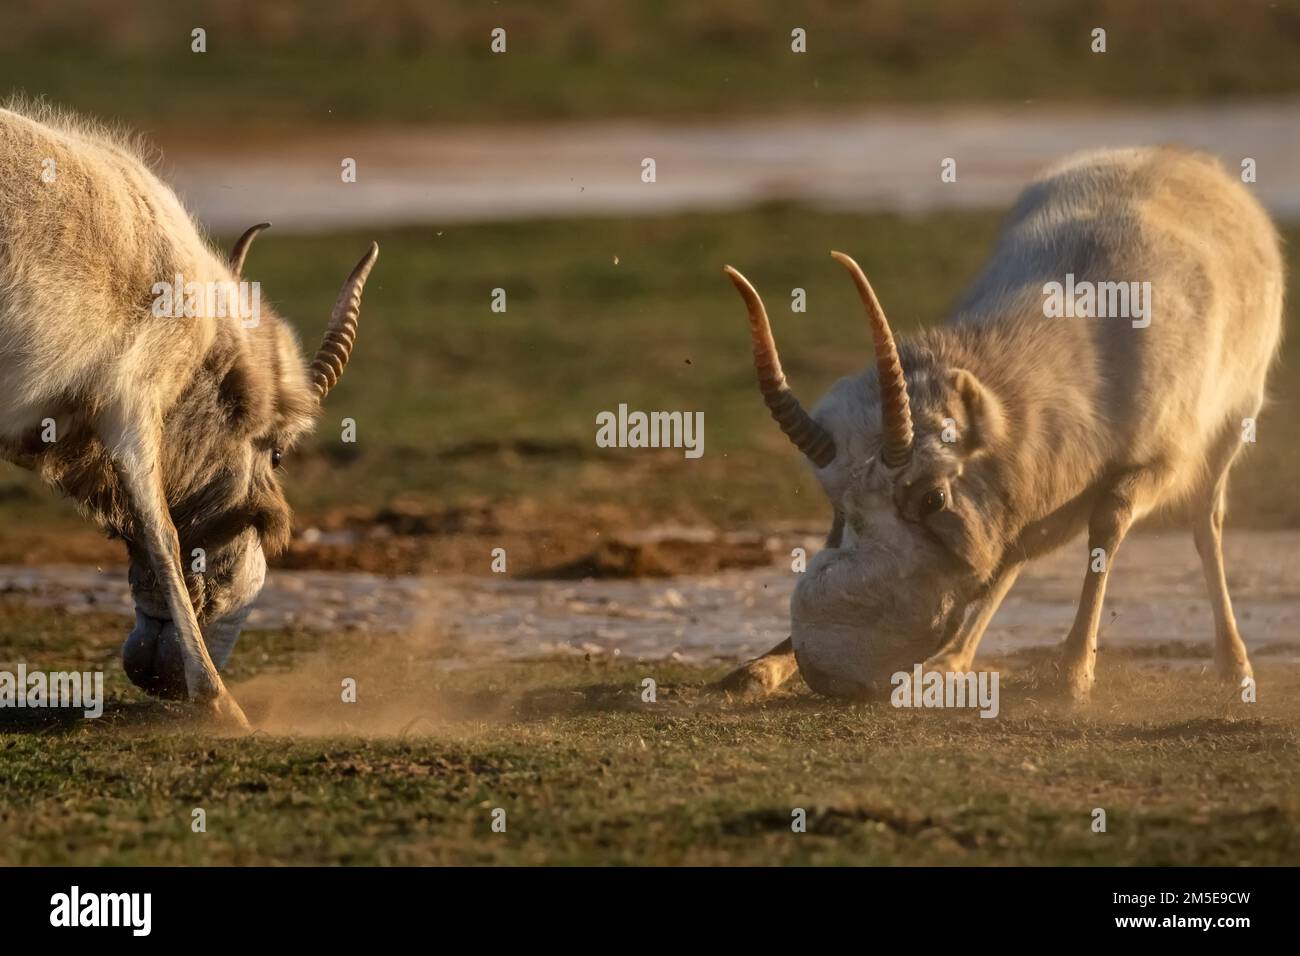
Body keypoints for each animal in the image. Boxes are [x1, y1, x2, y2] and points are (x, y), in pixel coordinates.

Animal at [722, 145, 1279, 697]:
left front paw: (1073, 674)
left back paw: (1234, 664)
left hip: (1234, 421)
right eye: (837, 503)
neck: (1094, 344)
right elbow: (1011, 552)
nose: (829, 663)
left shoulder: (1160, 461)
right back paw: (952, 659)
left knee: (1207, 523)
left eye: (932, 497)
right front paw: (759, 667)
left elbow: (1108, 524)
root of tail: (1186, 158)